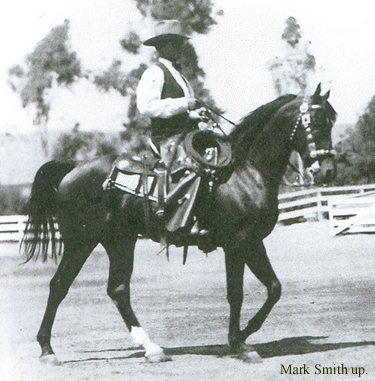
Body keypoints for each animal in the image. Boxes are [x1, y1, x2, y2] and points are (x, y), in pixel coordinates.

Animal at [21, 84, 338, 364]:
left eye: (332, 121)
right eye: (317, 122)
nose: (328, 171)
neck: (245, 173)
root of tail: (72, 168)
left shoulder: (253, 242)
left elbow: (274, 288)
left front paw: (243, 335)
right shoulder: (237, 243)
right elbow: (236, 294)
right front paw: (239, 343)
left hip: (119, 241)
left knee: (117, 290)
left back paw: (152, 349)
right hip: (81, 241)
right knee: (59, 285)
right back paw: (48, 350)